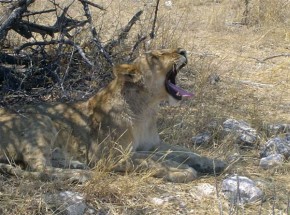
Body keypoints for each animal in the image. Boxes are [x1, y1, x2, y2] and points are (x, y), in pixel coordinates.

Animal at [0, 47, 227, 182]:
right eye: (155, 57)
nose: (182, 50)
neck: (146, 108)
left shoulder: (152, 145)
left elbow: (184, 151)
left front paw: (212, 162)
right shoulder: (108, 155)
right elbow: (150, 161)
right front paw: (180, 171)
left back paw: (76, 164)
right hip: (41, 120)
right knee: (39, 169)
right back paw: (82, 174)